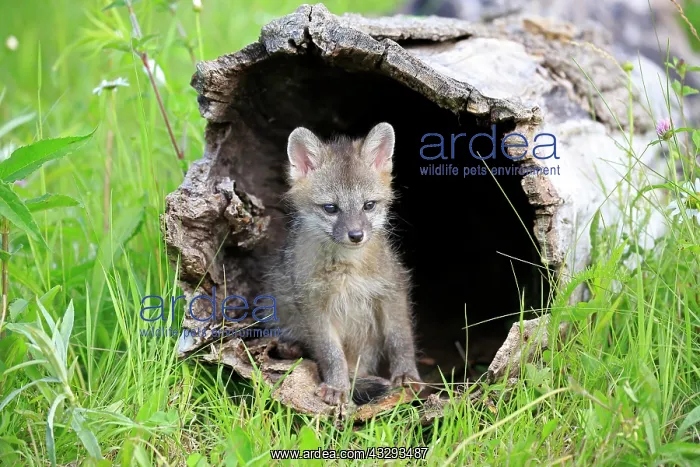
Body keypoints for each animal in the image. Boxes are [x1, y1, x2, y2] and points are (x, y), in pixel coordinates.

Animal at [264, 122, 422, 406]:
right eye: (330, 208)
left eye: (368, 205)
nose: (356, 235)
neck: (347, 270)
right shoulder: (313, 304)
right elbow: (330, 352)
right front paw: (337, 386)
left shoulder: (392, 289)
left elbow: (400, 338)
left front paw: (406, 374)